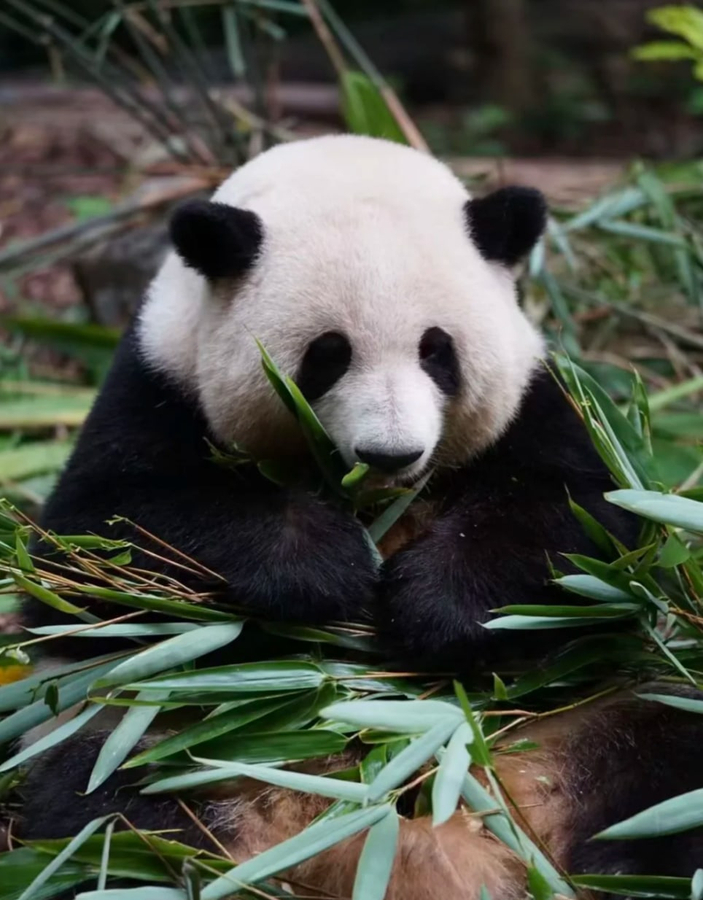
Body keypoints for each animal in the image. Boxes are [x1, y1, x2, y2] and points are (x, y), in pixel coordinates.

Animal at [13, 135, 703, 897]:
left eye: (437, 351)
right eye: (328, 355)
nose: (390, 452)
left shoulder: (539, 401)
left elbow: (584, 528)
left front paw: (433, 604)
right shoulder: (156, 385)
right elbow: (98, 546)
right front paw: (325, 567)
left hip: (599, 716)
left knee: (660, 770)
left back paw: (628, 865)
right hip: (150, 730)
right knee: (105, 810)